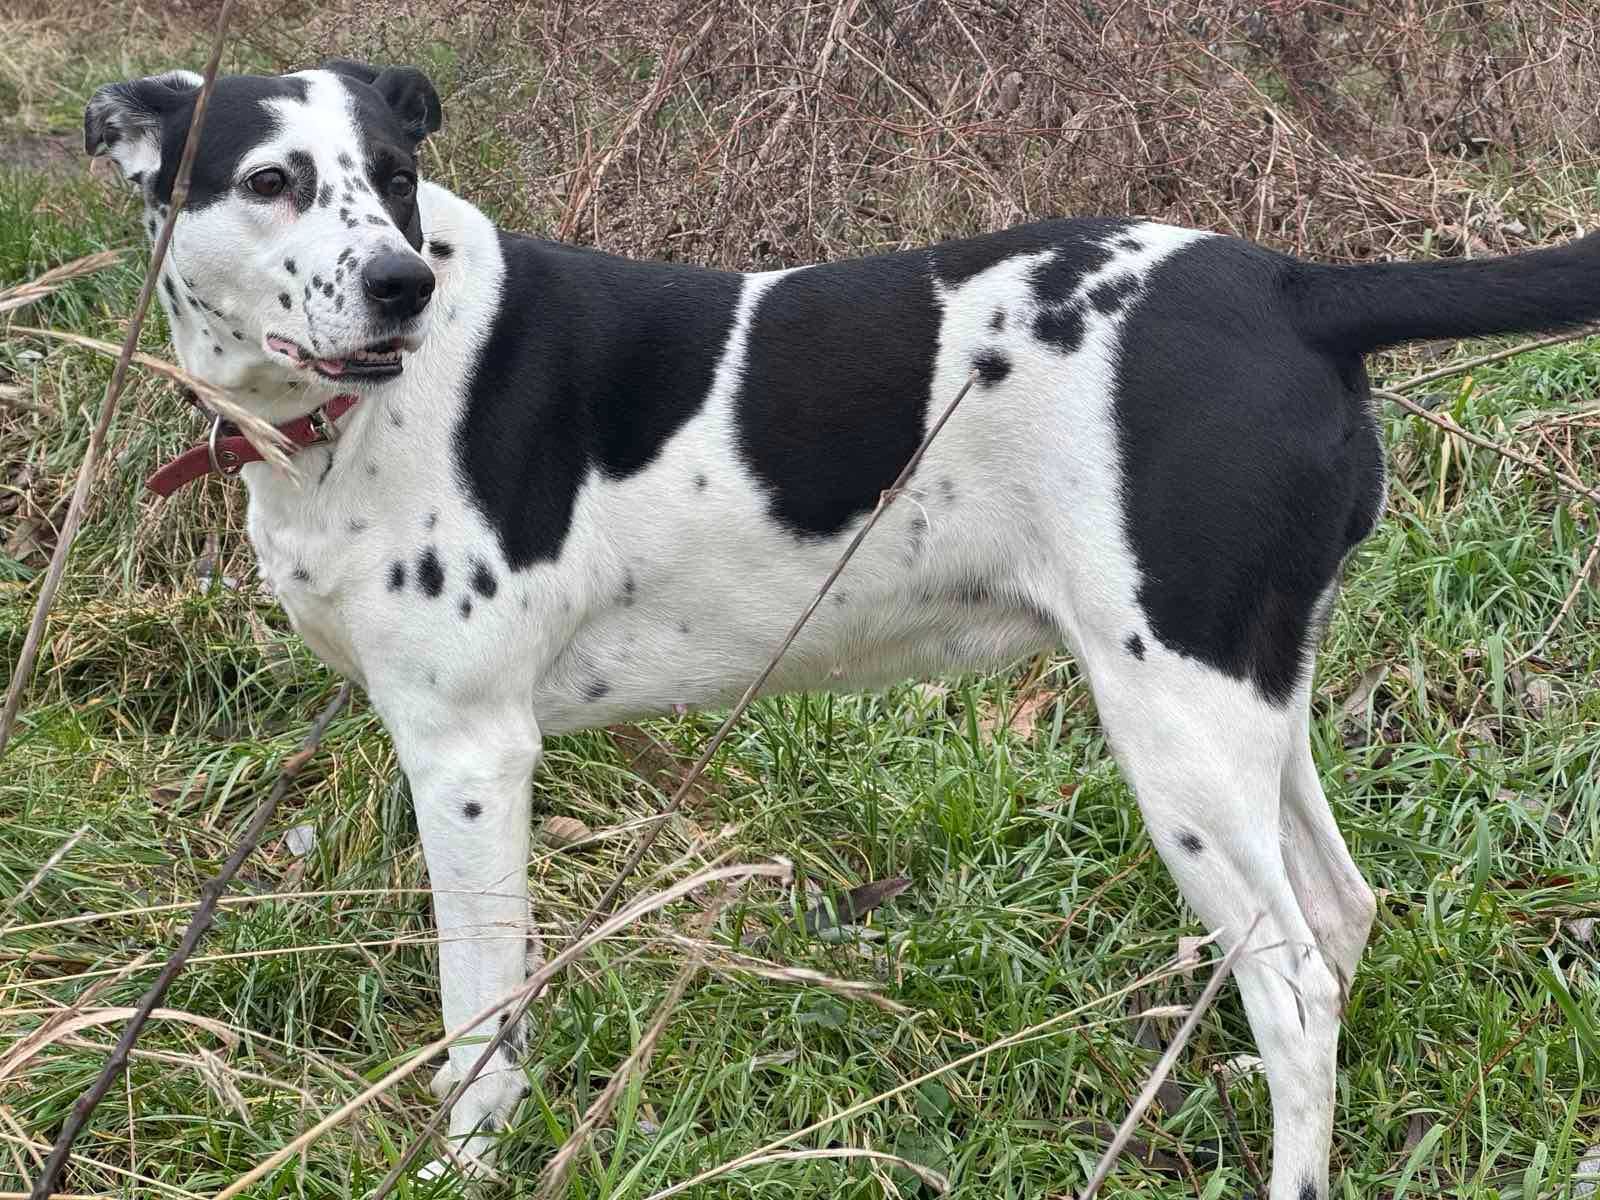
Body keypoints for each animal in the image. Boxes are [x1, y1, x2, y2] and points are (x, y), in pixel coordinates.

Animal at [87, 61, 1600, 1196]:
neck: (346, 418)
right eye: (271, 181)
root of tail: (1298, 287)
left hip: (1174, 731)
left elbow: (481, 1018)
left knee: (1292, 984)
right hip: (1246, 702)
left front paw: (463, 1163)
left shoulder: (470, 759)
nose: (401, 283)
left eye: (395, 176)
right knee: (1335, 921)